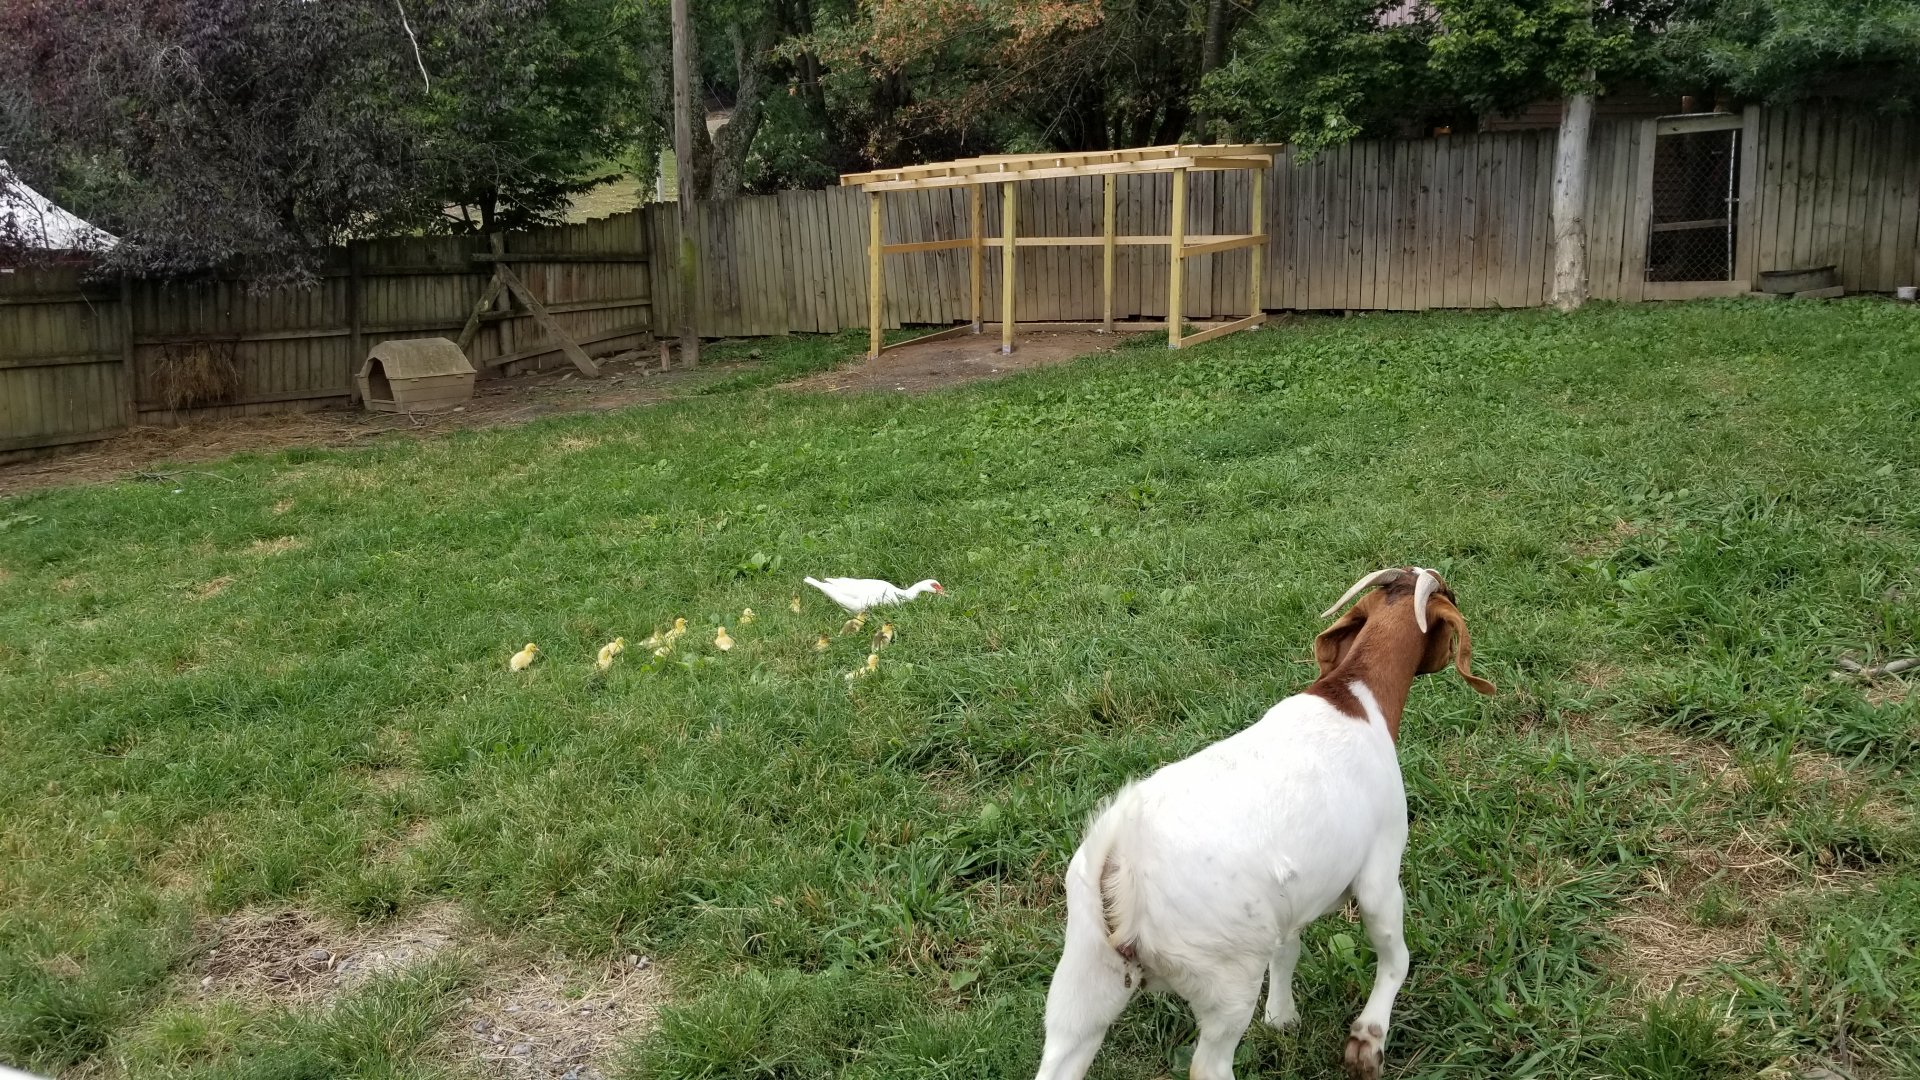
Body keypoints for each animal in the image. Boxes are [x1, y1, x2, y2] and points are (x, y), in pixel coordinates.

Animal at [1031, 567, 1495, 1080]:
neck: (1355, 698)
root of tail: (1118, 854)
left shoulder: (1289, 901)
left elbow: (1287, 949)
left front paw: (1281, 1017)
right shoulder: (1380, 865)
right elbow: (1395, 955)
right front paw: (1368, 1039)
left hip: (1084, 976)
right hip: (1225, 978)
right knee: (1210, 1064)